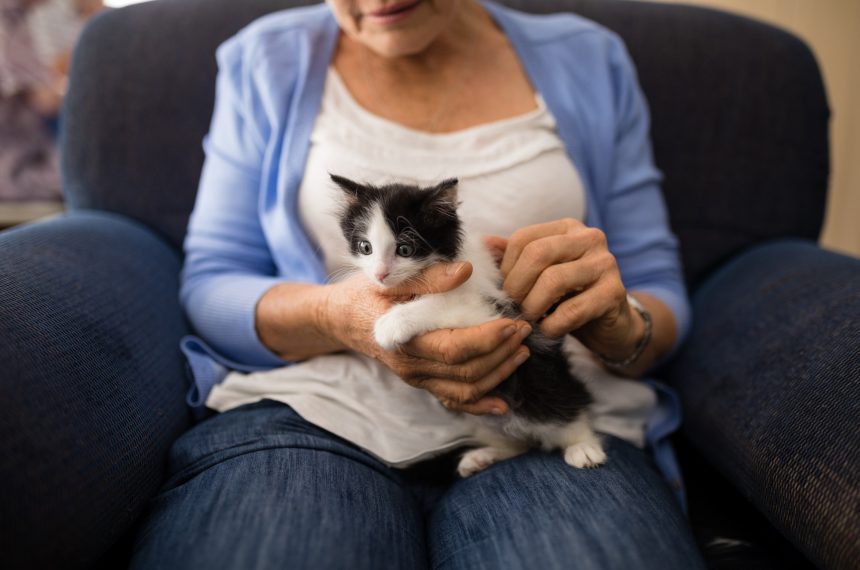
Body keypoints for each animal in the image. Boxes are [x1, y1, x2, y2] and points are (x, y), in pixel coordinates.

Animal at [330, 174, 604, 474]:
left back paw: (584, 448)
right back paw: (483, 456)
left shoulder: (497, 311)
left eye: (405, 249)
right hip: (482, 416)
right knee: (519, 443)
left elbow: (445, 303)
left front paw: (392, 324)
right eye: (365, 247)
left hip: (545, 390)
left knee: (566, 413)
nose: (380, 274)